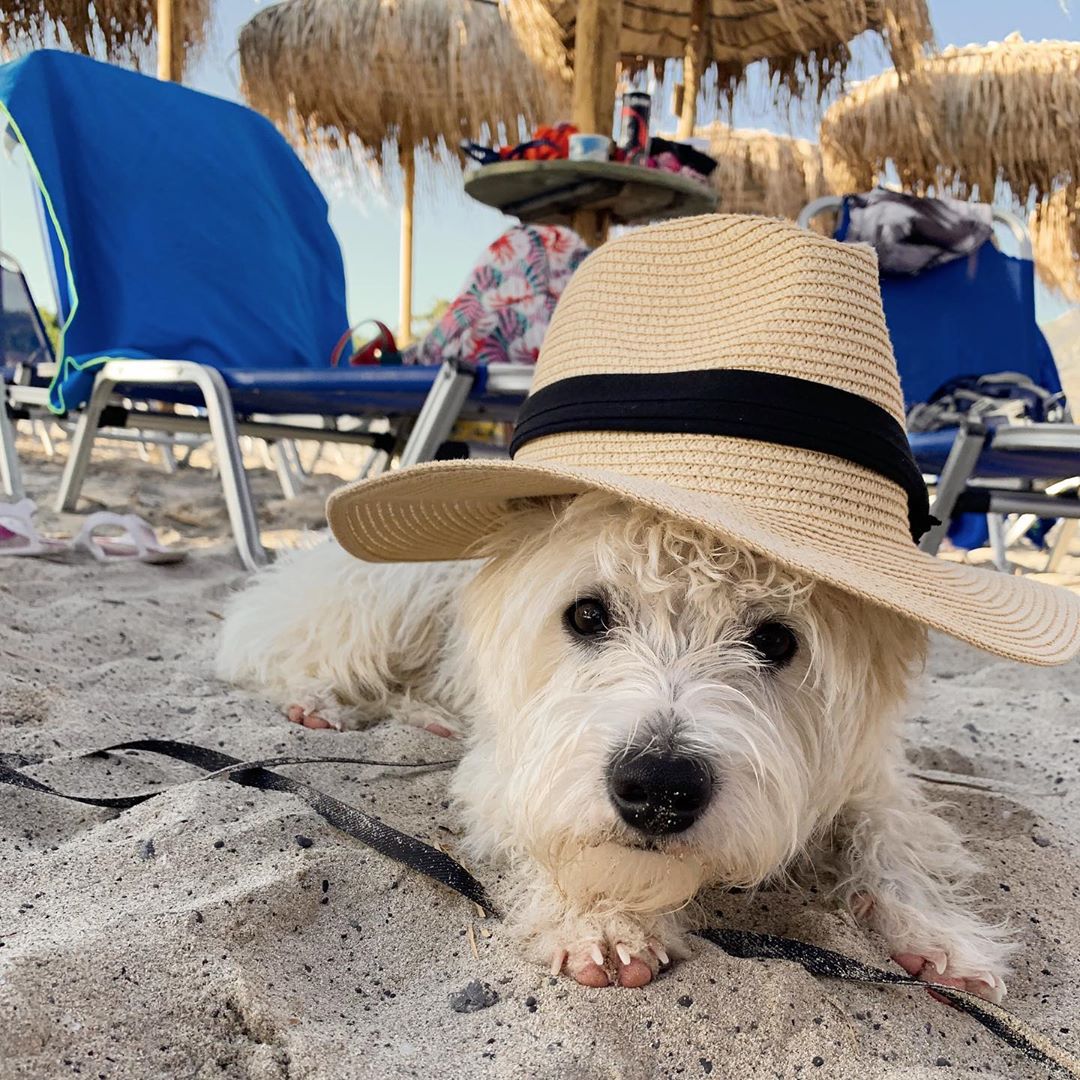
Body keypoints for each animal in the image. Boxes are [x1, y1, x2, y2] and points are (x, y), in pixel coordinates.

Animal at [217, 494, 1010, 997]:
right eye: (588, 614)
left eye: (777, 640)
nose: (658, 790)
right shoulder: (517, 766)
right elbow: (562, 843)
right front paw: (600, 920)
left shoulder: (871, 777)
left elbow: (892, 839)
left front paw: (936, 932)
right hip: (386, 602)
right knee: (270, 642)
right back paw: (318, 700)